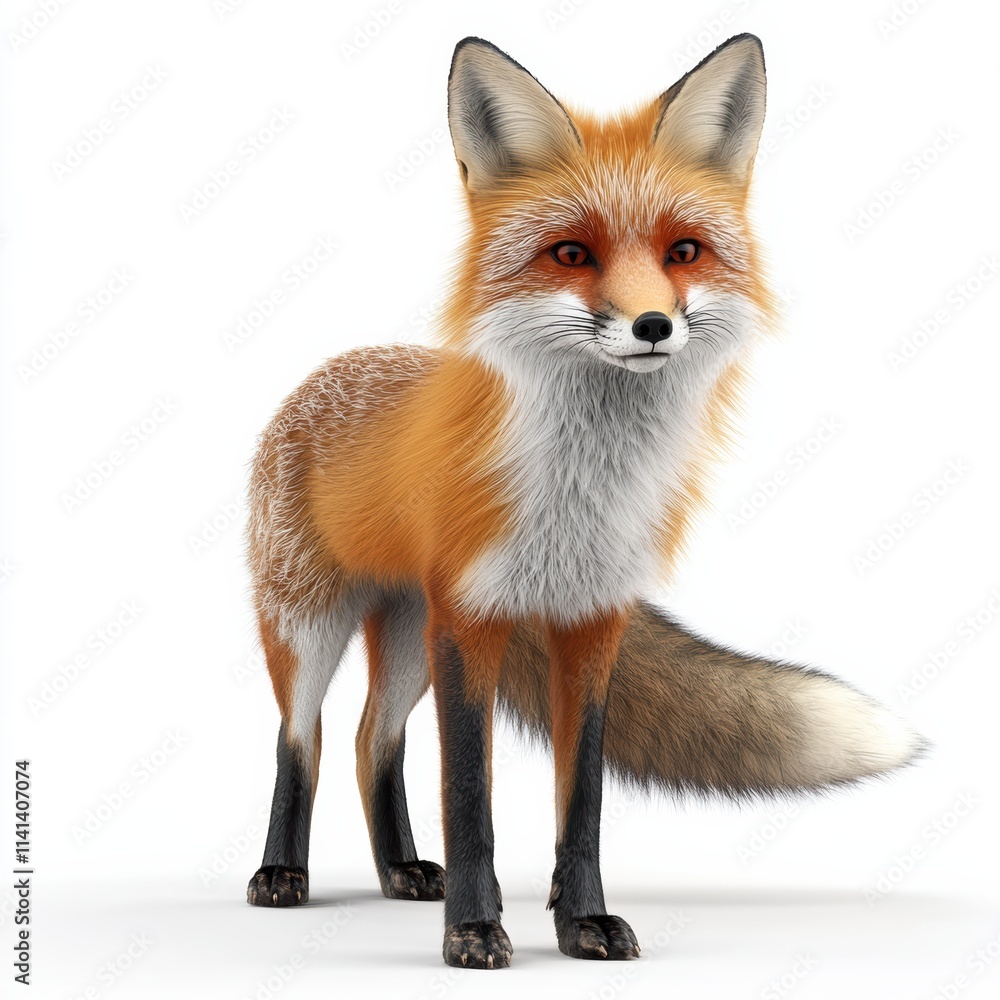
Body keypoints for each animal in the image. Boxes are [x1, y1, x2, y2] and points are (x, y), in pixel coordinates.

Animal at [244, 34, 923, 968]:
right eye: (571, 254)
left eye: (684, 252)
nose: (652, 326)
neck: (578, 501)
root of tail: (328, 369)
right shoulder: (472, 621)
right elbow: (471, 799)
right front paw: (473, 929)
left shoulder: (592, 620)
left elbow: (584, 799)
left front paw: (581, 922)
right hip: (310, 622)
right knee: (301, 738)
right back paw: (282, 873)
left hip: (410, 636)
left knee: (370, 740)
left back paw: (400, 871)